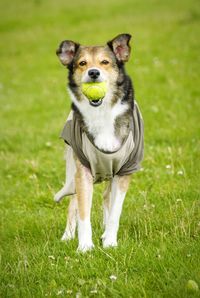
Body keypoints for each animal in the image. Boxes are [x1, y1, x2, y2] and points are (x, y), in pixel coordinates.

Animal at [54, 33, 143, 253]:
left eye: (105, 62)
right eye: (82, 63)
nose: (93, 72)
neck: (101, 113)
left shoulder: (125, 171)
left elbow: (115, 211)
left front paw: (110, 241)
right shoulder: (83, 171)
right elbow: (83, 212)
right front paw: (85, 246)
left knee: (106, 198)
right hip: (72, 167)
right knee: (73, 202)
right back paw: (67, 235)